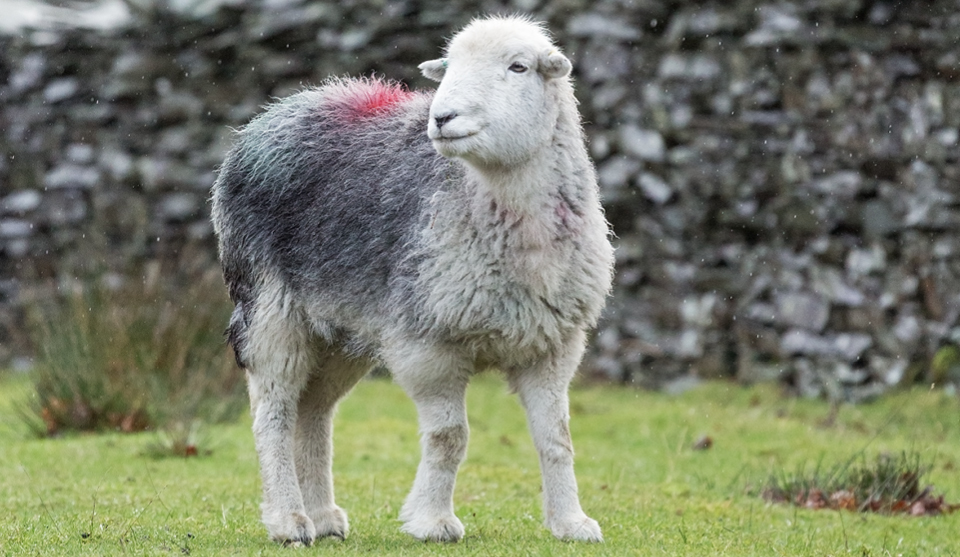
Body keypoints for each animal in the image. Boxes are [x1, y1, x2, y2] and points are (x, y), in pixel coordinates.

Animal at [210, 14, 616, 548]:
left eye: (519, 67)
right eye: (449, 66)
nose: (441, 118)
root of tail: (280, 108)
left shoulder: (552, 345)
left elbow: (558, 439)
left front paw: (571, 523)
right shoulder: (427, 344)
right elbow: (450, 437)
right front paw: (433, 522)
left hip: (339, 328)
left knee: (314, 413)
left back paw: (322, 516)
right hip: (270, 308)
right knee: (273, 413)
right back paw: (289, 521)